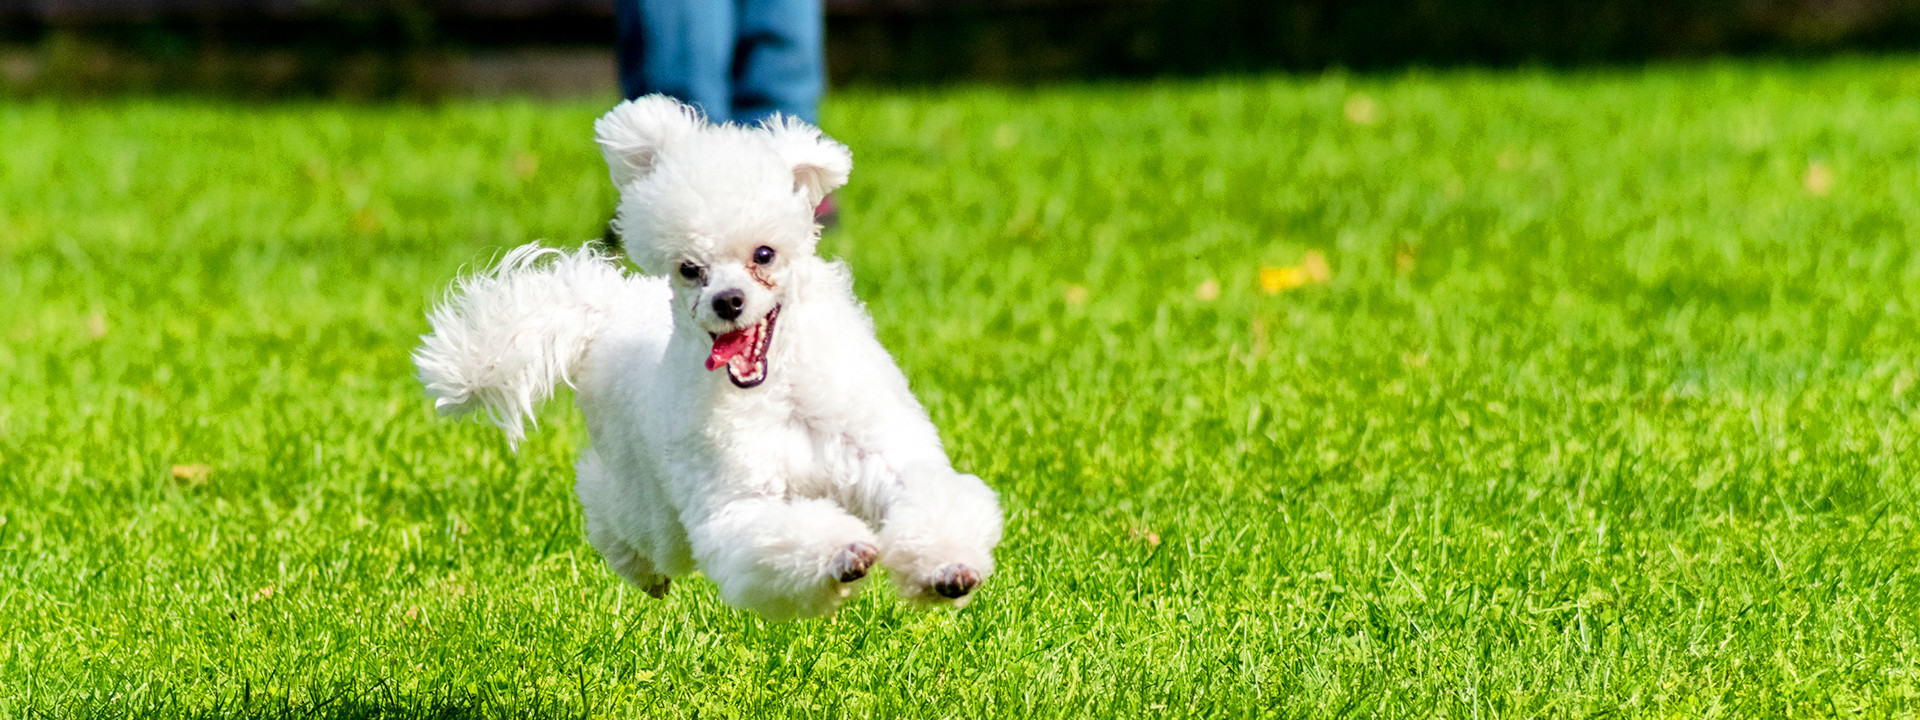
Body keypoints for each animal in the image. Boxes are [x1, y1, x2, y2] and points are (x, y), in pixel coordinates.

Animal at [408, 98, 1006, 622]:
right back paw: (642, 569)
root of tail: (609, 305)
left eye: (763, 254)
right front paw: (842, 555)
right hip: (650, 502)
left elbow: (930, 499)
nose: (728, 301)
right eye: (690, 269)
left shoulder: (881, 454)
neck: (778, 389)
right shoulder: (736, 505)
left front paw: (948, 569)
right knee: (611, 510)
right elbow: (773, 537)